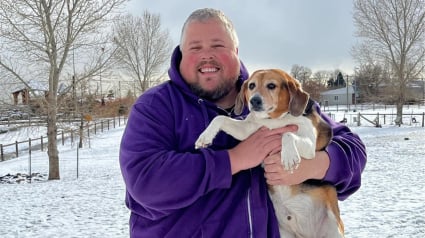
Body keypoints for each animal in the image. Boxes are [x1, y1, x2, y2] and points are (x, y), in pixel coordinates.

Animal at [195, 69, 344, 238]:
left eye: (271, 85)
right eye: (251, 85)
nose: (254, 101)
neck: (274, 119)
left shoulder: (310, 145)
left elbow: (286, 134)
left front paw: (289, 156)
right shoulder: (247, 130)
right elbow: (220, 118)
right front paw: (205, 137)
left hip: (334, 230)